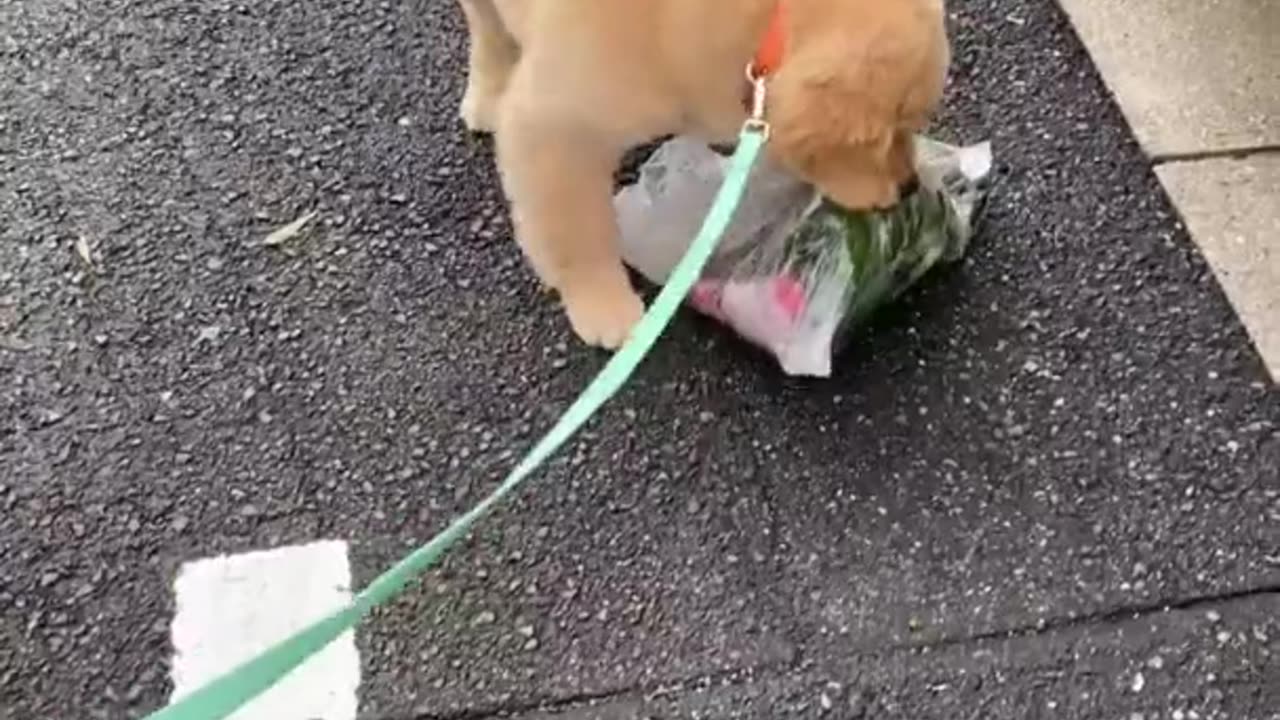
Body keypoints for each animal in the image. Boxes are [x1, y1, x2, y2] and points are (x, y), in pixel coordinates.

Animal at [460, 0, 952, 348]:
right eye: (885, 136)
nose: (909, 187)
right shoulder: (555, 126)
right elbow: (575, 231)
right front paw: (602, 305)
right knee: (487, 30)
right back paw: (487, 96)